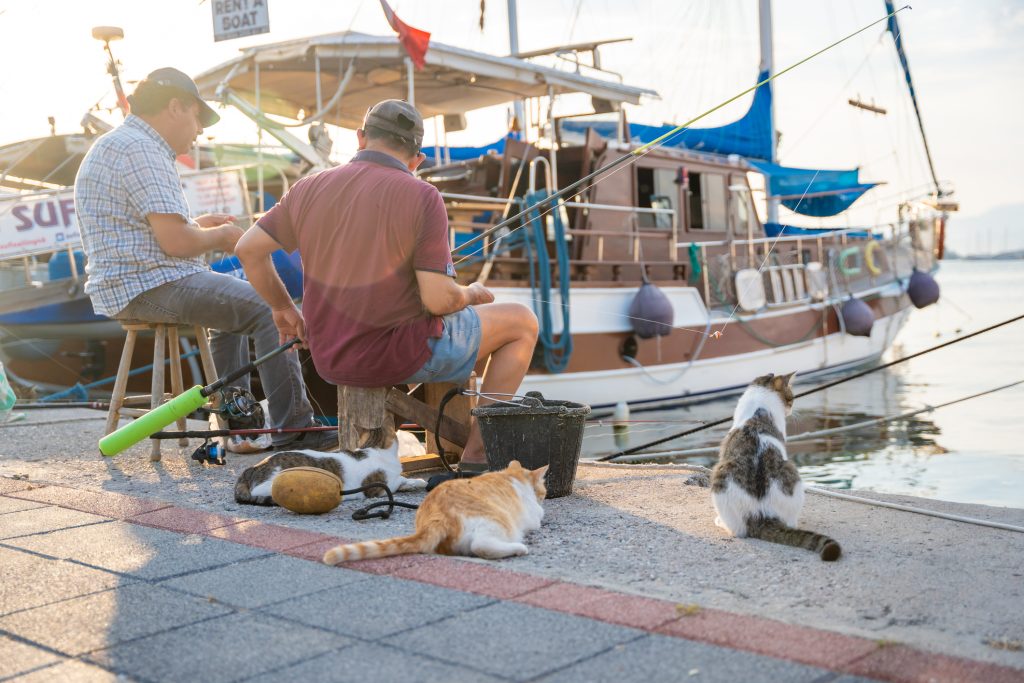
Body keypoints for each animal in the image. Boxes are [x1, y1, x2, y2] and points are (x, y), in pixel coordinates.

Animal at [323, 462, 548, 565]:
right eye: (543, 492)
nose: (543, 495)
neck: (512, 476)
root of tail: (436, 517)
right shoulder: (532, 515)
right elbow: (538, 516)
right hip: (497, 521)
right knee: (481, 546)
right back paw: (519, 548)